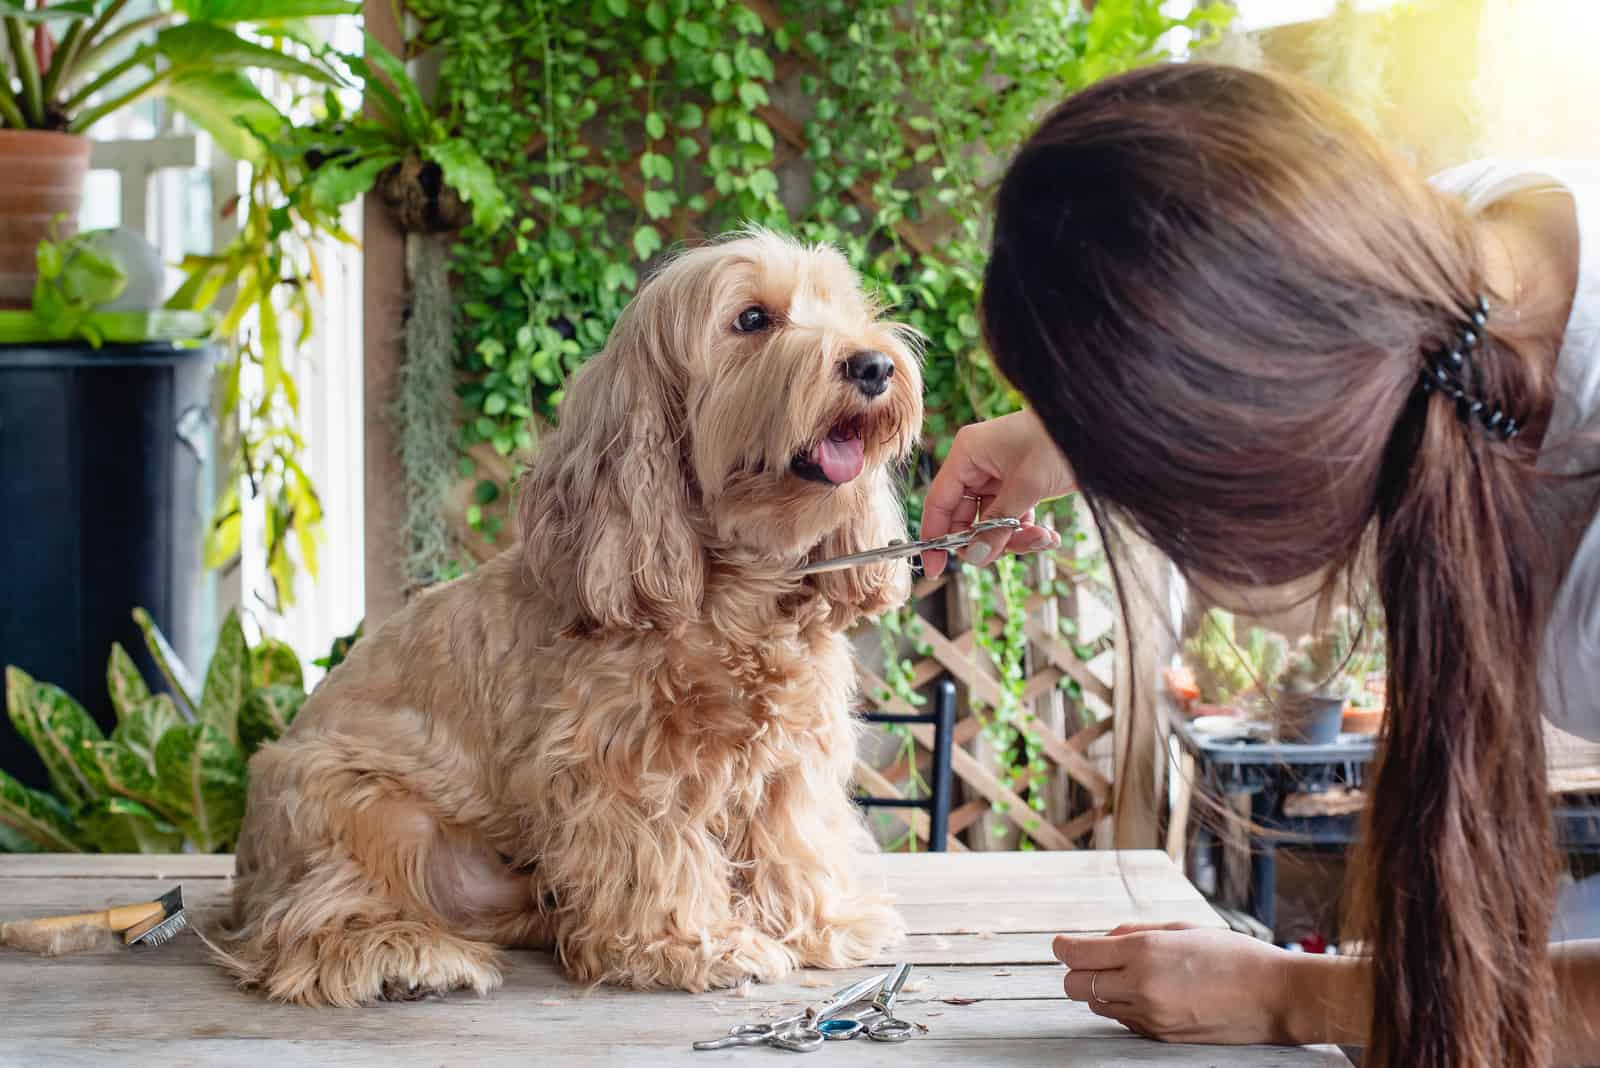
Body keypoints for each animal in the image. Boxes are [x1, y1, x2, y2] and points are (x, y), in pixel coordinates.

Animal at [219, 230, 934, 1004]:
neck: (735, 594)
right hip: (366, 808)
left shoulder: (792, 763)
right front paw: (692, 946)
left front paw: (824, 923)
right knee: (307, 922)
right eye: (751, 320)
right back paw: (402, 955)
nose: (874, 365)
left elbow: (792, 843)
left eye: (849, 309)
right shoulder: (622, 767)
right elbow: (660, 857)